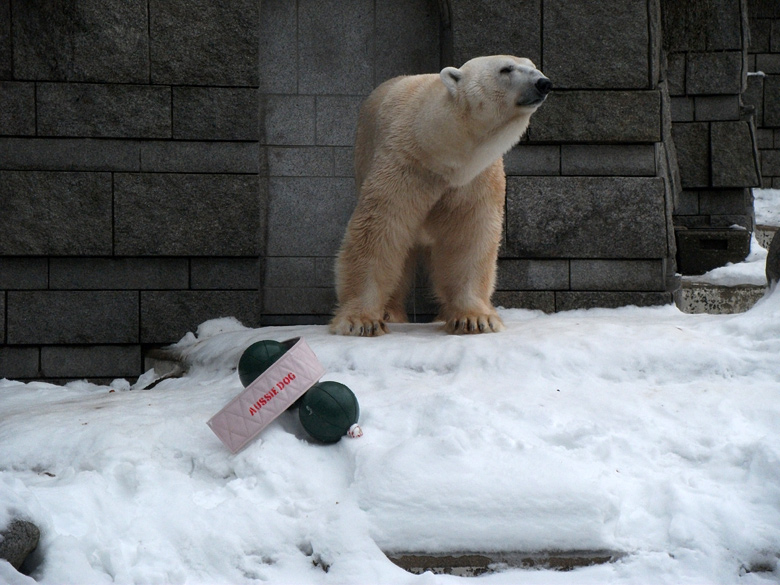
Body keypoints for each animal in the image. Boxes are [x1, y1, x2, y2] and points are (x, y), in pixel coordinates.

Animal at [332, 57, 552, 338]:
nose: (543, 83)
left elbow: (469, 236)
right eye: (506, 69)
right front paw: (360, 321)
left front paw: (475, 319)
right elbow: (379, 230)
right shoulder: (405, 165)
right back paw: (390, 312)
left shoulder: (475, 178)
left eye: (533, 65)